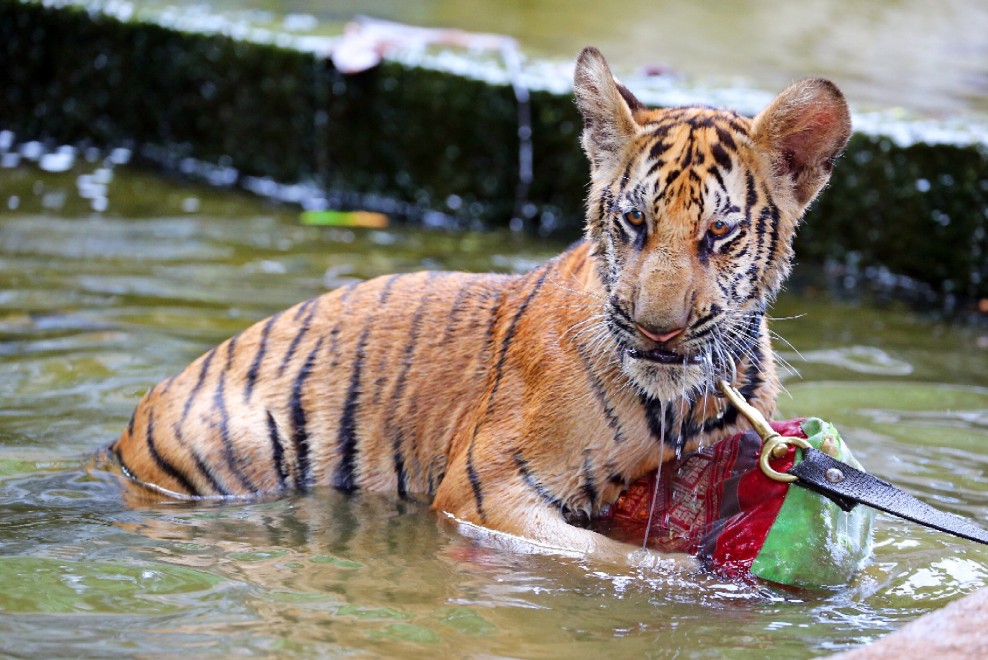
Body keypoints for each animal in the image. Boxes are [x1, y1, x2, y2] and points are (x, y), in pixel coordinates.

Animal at [104, 47, 851, 570]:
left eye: (719, 233)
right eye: (635, 221)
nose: (657, 330)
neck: (683, 397)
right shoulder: (489, 491)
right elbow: (631, 563)